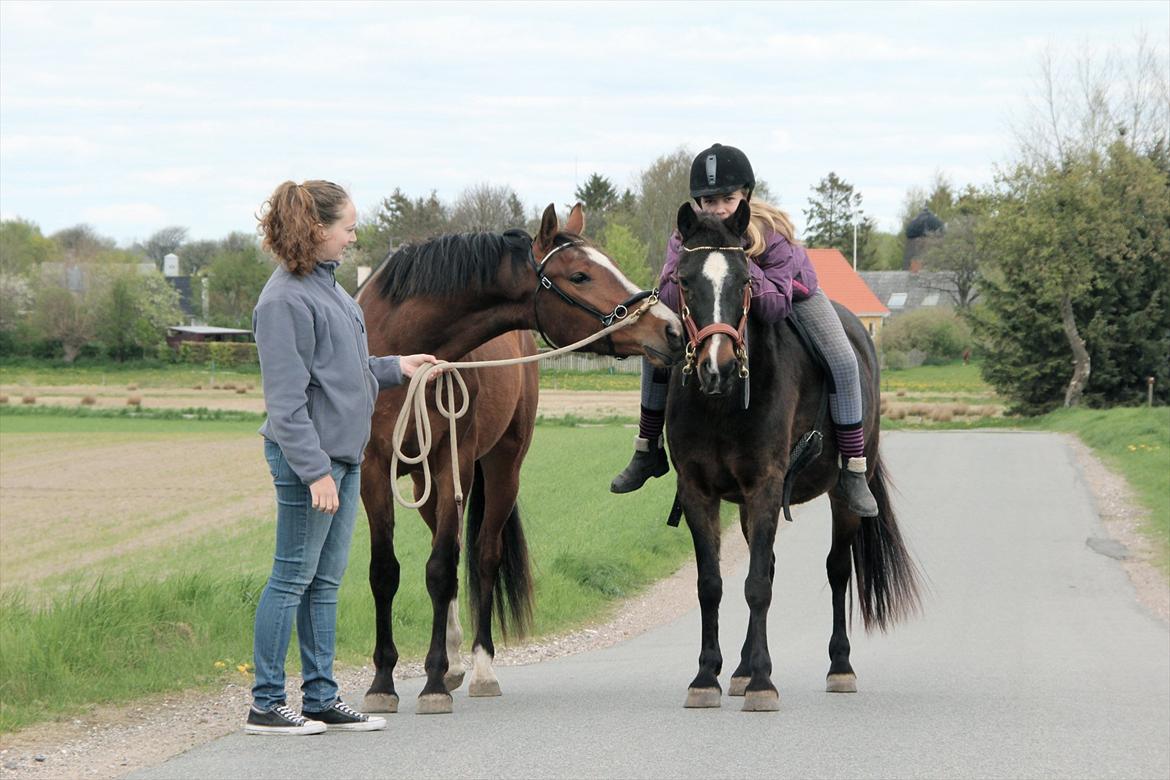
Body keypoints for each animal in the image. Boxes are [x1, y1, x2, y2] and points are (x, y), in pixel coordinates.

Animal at [355, 204, 683, 715]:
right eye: (581, 275)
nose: (671, 328)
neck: (400, 351)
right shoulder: (372, 469)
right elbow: (386, 572)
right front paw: (383, 682)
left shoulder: (454, 464)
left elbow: (441, 569)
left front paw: (432, 682)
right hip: (426, 487)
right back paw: (454, 662)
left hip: (501, 469)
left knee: (481, 557)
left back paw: (479, 668)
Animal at [664, 203, 917, 715]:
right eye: (683, 280)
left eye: (745, 280)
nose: (717, 367)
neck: (722, 404)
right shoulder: (699, 491)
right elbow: (712, 584)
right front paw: (708, 677)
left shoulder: (765, 485)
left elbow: (757, 585)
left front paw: (763, 683)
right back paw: (741, 670)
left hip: (842, 495)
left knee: (838, 569)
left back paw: (840, 667)